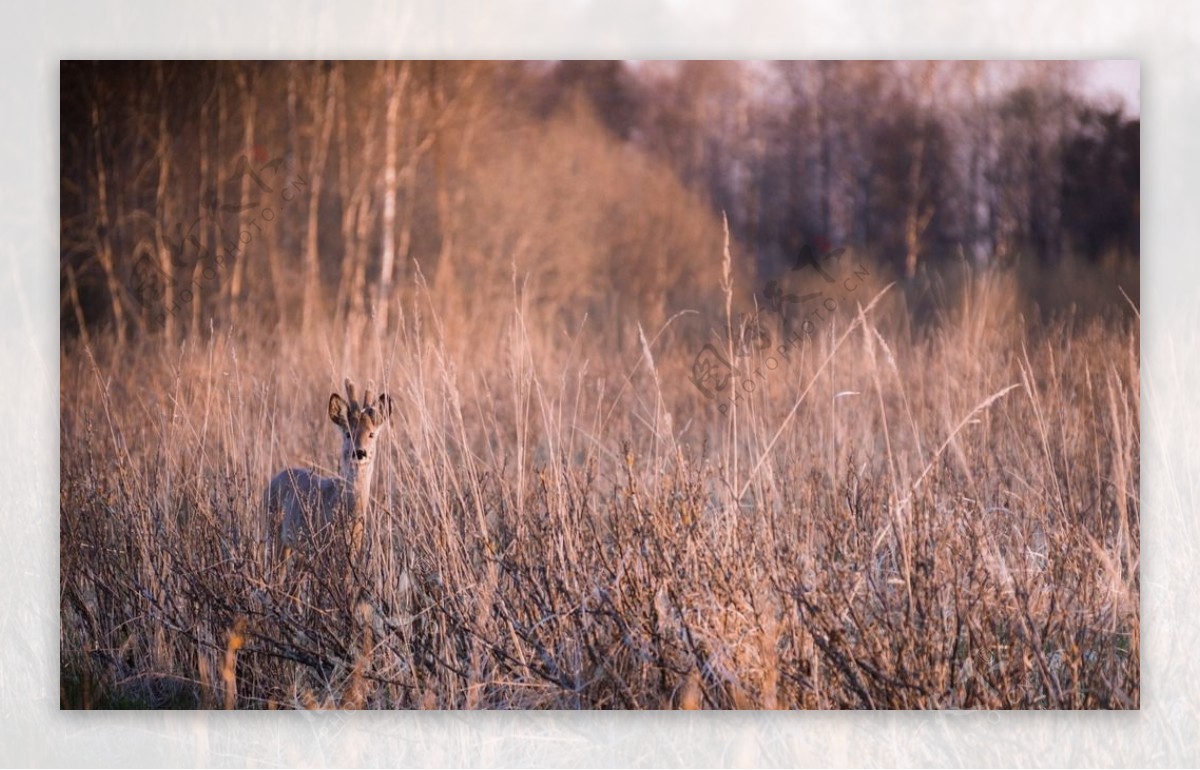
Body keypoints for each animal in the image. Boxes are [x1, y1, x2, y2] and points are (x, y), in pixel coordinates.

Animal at [265, 376, 391, 570]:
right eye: (348, 433)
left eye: (371, 434)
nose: (359, 452)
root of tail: (272, 481)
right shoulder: (323, 548)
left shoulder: (352, 553)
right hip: (273, 532)